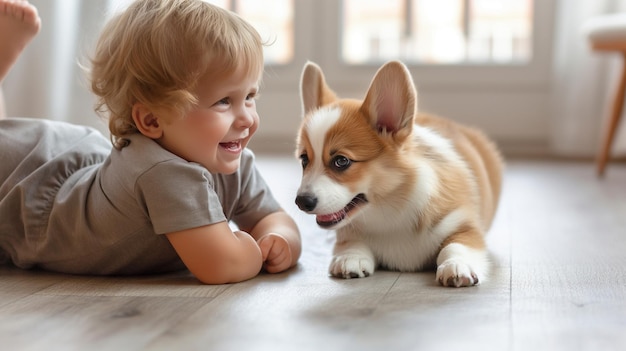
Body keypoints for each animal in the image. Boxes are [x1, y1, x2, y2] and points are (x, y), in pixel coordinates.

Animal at [292, 60, 502, 288]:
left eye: (341, 161)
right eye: (304, 160)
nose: (301, 202)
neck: (389, 206)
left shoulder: (464, 225)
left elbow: (455, 246)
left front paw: (456, 265)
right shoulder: (350, 231)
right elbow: (351, 243)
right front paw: (350, 258)